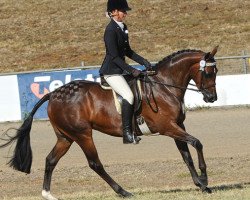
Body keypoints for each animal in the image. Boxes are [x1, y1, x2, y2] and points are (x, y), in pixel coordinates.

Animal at [0, 46, 219, 199]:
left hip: (65, 137)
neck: (163, 87)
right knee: (95, 163)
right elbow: (197, 143)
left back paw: (48, 194)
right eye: (208, 72)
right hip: (82, 134)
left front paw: (201, 185)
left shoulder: (177, 126)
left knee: (51, 160)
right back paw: (123, 192)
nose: (212, 98)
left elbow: (186, 155)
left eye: (216, 71)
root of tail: (53, 94)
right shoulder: (167, 127)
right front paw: (204, 178)